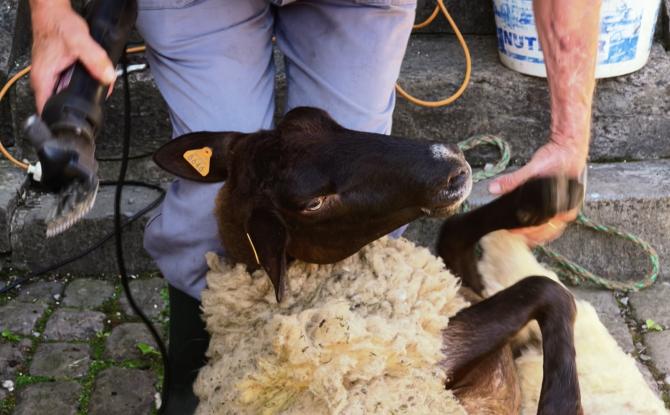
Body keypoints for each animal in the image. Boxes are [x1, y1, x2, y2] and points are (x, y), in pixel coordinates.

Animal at [152, 108, 644, 415]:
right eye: (312, 203)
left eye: (313, 115)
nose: (452, 162)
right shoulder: (429, 350)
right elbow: (550, 291)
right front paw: (560, 405)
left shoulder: (457, 286)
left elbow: (456, 229)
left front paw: (545, 195)